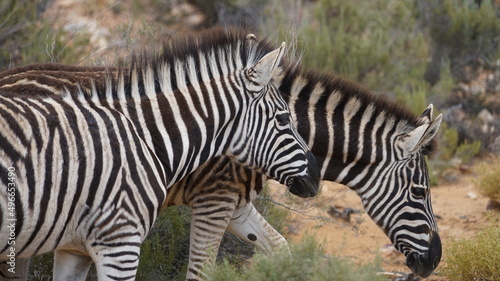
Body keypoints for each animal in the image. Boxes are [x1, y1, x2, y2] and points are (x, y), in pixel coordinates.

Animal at [0, 32, 442, 278]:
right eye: (420, 193)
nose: (435, 261)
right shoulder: (214, 199)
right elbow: (201, 270)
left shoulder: (237, 205)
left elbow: (280, 248)